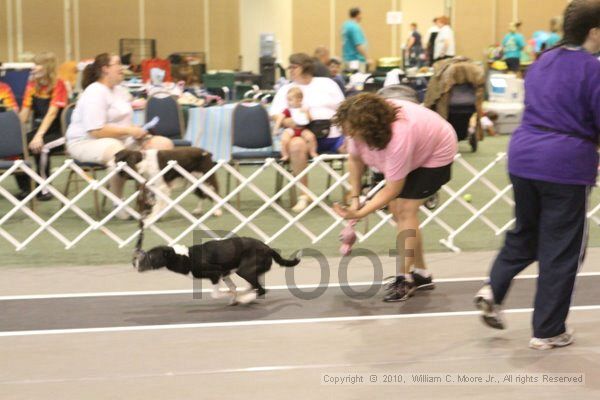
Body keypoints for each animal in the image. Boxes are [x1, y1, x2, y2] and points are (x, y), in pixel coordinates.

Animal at [135, 236, 300, 304]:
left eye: (150, 256)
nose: (135, 264)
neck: (186, 257)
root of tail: (268, 248)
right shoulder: (225, 274)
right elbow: (233, 288)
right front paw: (234, 297)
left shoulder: (215, 274)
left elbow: (215, 294)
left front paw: (234, 297)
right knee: (256, 286)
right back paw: (245, 295)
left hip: (244, 270)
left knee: (261, 289)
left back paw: (246, 298)